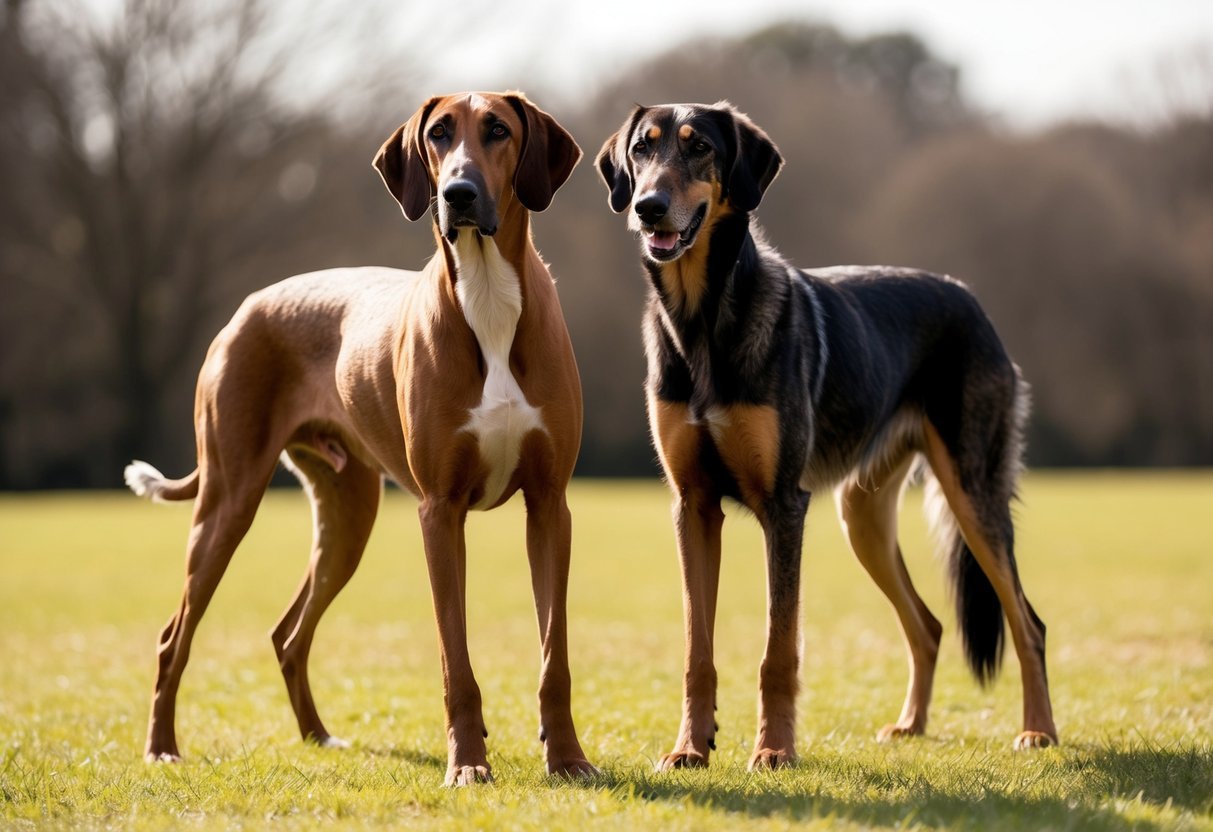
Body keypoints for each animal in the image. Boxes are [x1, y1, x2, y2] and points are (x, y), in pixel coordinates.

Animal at [125, 92, 594, 790]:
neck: (486, 295)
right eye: (438, 133)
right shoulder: (440, 513)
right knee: (171, 637)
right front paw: (468, 763)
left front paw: (566, 759)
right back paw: (161, 747)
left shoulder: (548, 507)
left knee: (288, 634)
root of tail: (244, 309)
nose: (457, 193)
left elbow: (553, 656)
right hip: (228, 504)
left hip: (348, 516)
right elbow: (455, 660)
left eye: (498, 130)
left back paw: (318, 736)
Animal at [601, 101, 1057, 771]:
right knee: (928, 625)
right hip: (862, 516)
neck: (704, 317)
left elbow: (778, 648)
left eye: (699, 147)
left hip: (973, 496)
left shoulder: (784, 507)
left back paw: (1039, 732)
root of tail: (968, 297)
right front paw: (690, 747)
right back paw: (911, 725)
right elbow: (696, 649)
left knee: (1028, 623)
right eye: (642, 148)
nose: (648, 206)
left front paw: (774, 750)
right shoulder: (693, 507)